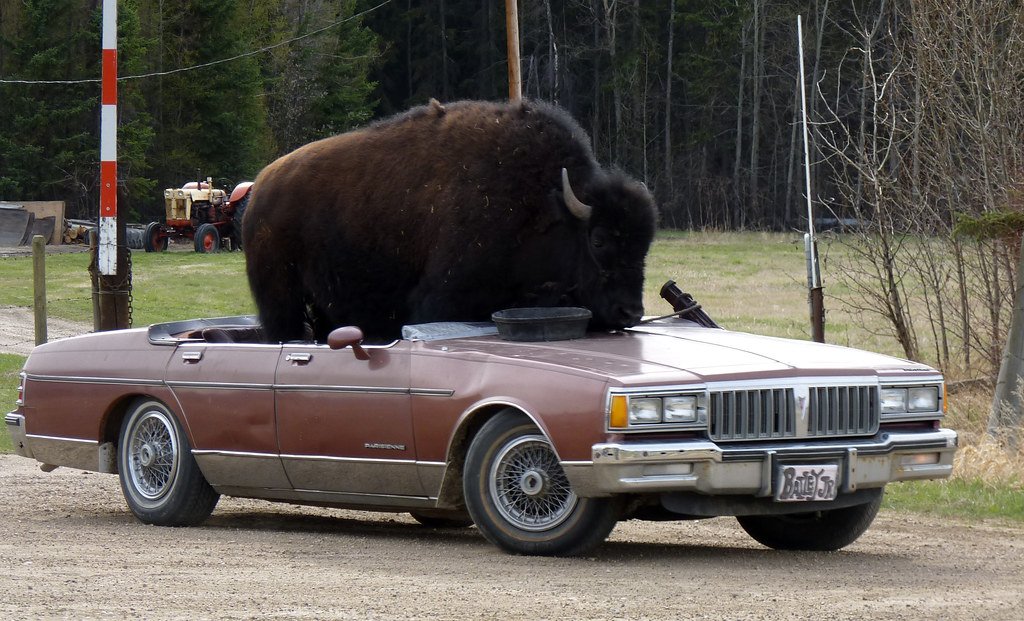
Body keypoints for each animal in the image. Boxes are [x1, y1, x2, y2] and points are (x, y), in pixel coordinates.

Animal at [242, 98, 658, 342]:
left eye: (645, 245)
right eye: (599, 239)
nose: (631, 312)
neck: (544, 203)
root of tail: (261, 187)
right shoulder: (441, 298)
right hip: (280, 296)